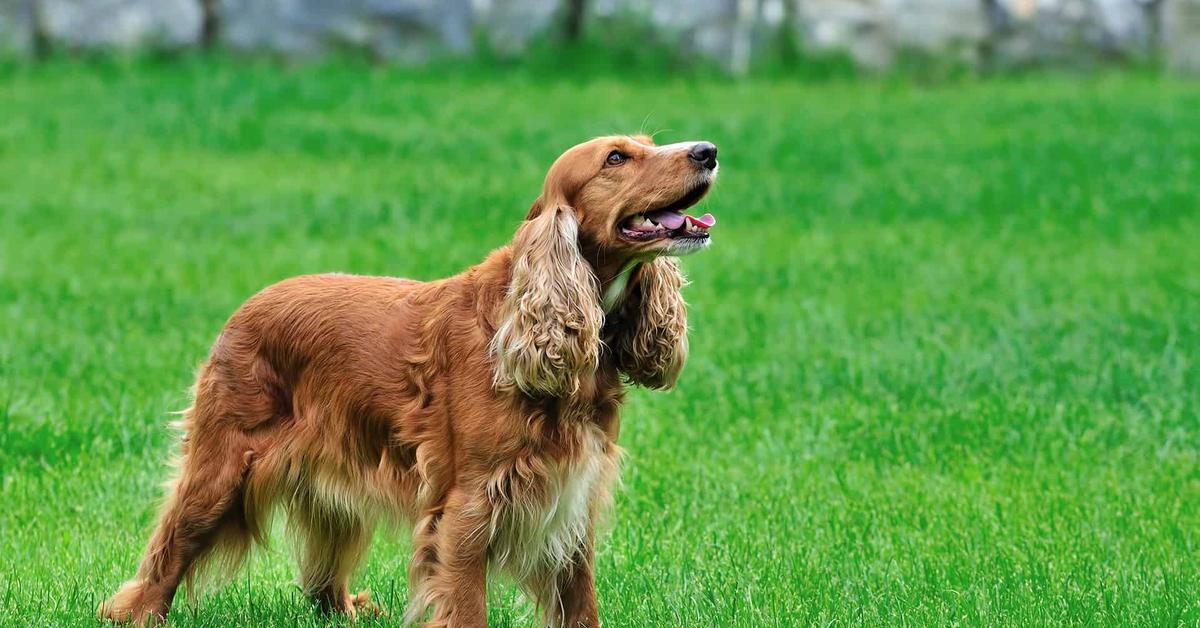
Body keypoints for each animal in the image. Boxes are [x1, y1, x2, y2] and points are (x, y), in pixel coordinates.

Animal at [98, 135, 715, 624]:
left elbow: (581, 605)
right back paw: (137, 613)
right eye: (617, 157)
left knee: (321, 579)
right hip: (223, 466)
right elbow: (467, 606)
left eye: (647, 142)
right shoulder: (468, 506)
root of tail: (246, 307)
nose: (707, 151)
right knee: (168, 551)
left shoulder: (572, 498)